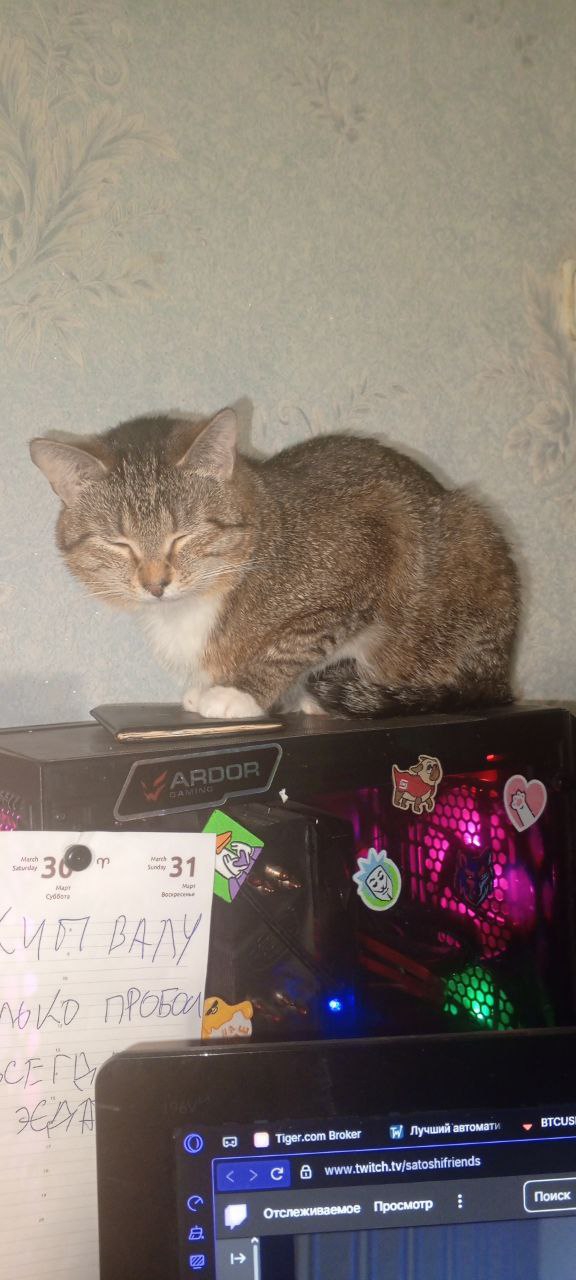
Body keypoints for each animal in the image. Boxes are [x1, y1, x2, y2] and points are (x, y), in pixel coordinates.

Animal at [29, 408, 520, 720]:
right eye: (119, 543)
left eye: (183, 535)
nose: (155, 584)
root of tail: (502, 675)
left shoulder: (367, 553)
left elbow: (295, 641)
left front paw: (240, 693)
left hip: (471, 535)